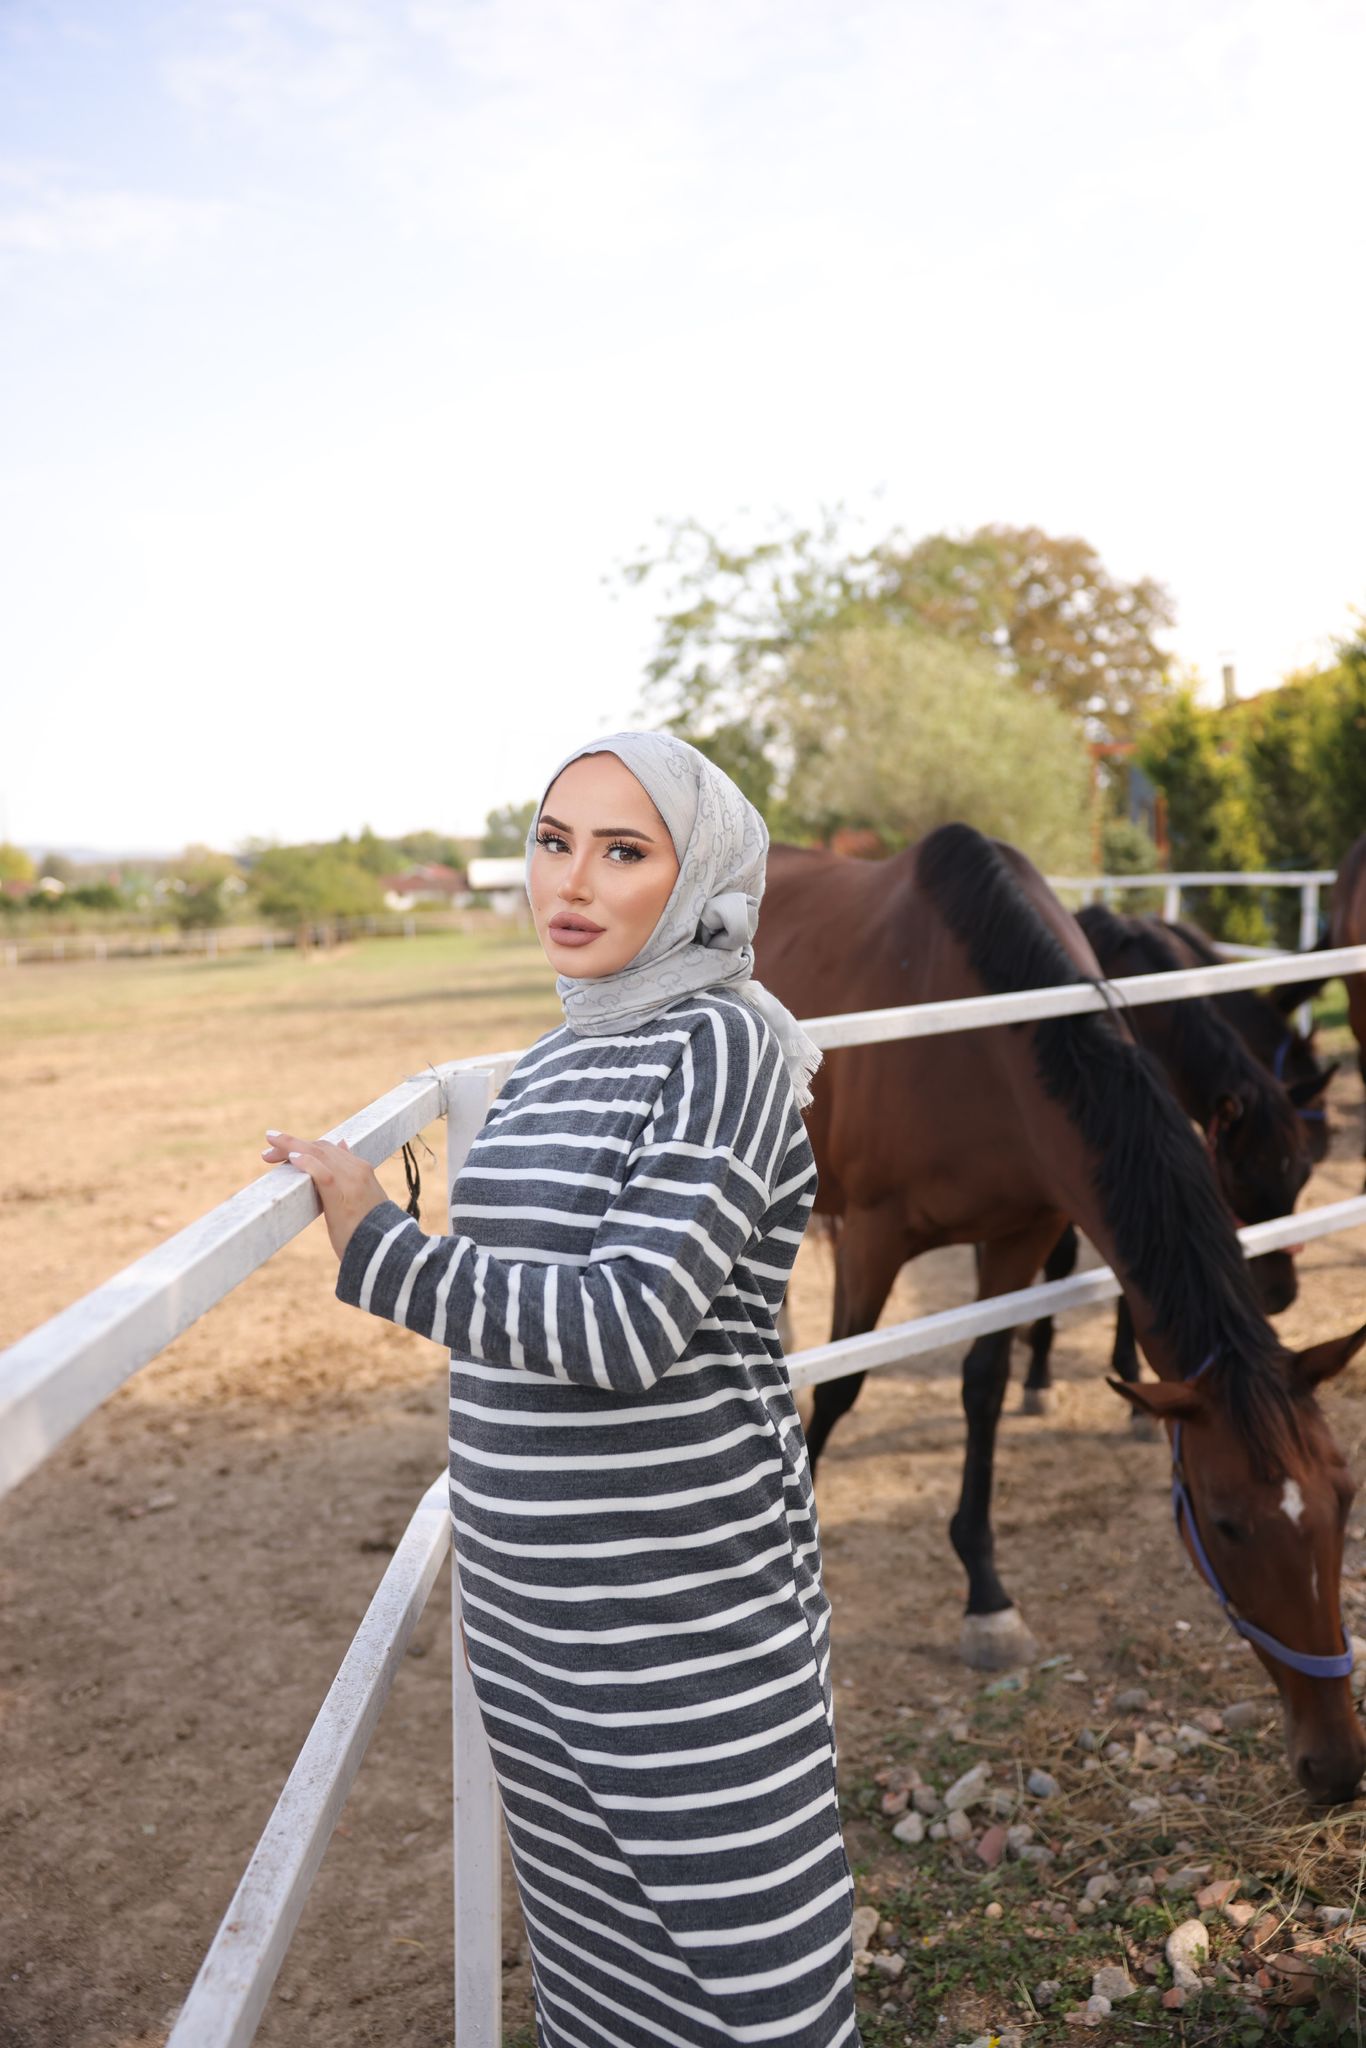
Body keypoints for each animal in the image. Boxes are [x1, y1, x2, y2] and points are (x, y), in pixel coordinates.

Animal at [757, 823, 1366, 1802]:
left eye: (1344, 1498)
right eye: (1225, 1522)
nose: (1337, 1764)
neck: (973, 1030)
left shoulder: (1021, 1232)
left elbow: (985, 1385)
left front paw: (986, 1594)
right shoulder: (875, 1239)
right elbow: (843, 1389)